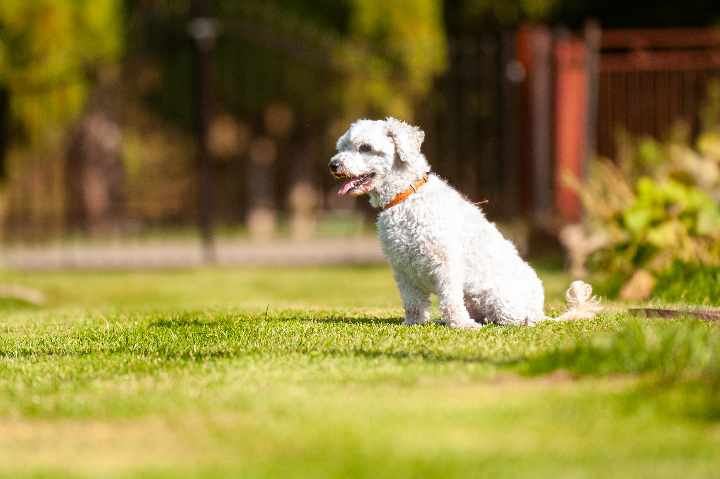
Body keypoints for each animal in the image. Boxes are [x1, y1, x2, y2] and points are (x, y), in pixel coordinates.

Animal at [330, 117, 600, 328]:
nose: (333, 164)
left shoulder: (445, 262)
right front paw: (413, 323)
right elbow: (412, 302)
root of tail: (541, 311)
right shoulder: (401, 267)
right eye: (342, 147)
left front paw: (460, 325)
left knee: (516, 319)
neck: (405, 198)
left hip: (499, 299)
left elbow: (450, 299)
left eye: (365, 147)